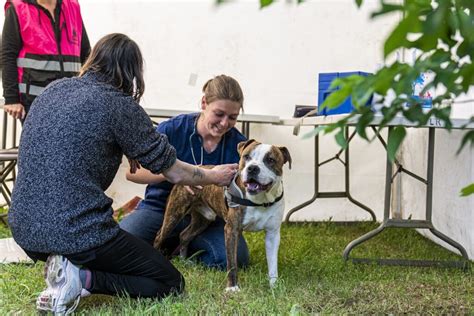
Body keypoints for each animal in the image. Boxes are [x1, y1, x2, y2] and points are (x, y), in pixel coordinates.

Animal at [154, 139, 290, 292]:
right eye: (246, 156)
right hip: (174, 213)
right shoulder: (232, 230)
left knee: (184, 235)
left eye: (270, 160)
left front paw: (274, 286)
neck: (260, 201)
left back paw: (184, 261)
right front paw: (232, 287)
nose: (252, 168)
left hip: (202, 220)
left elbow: (273, 264)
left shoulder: (273, 234)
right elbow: (232, 263)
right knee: (160, 235)